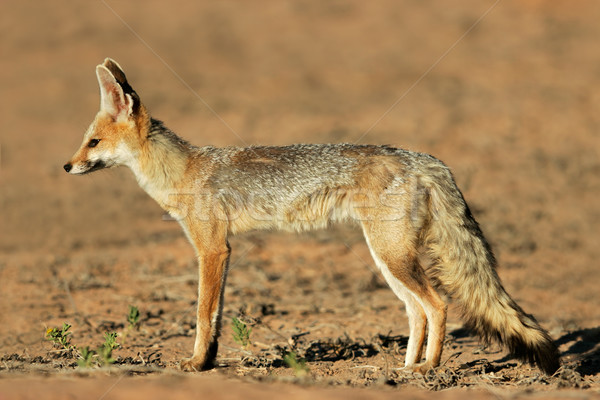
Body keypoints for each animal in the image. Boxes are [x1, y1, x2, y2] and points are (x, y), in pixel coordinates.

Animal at [63, 58, 560, 376]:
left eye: (92, 143)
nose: (66, 166)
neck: (183, 169)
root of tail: (423, 157)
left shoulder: (213, 249)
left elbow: (203, 314)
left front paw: (197, 363)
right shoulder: (224, 251)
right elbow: (217, 316)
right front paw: (209, 363)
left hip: (393, 256)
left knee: (437, 305)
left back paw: (430, 370)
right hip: (387, 257)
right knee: (416, 311)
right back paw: (406, 367)